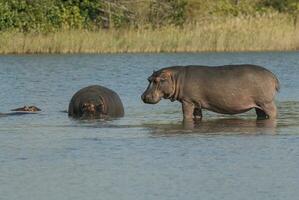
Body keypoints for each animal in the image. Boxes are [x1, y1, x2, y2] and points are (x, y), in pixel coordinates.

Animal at [142, 64, 280, 120]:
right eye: (149, 79)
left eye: (159, 80)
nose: (143, 96)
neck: (176, 78)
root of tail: (273, 76)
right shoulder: (196, 103)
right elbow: (197, 115)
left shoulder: (187, 101)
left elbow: (186, 115)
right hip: (259, 106)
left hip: (267, 102)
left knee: (273, 112)